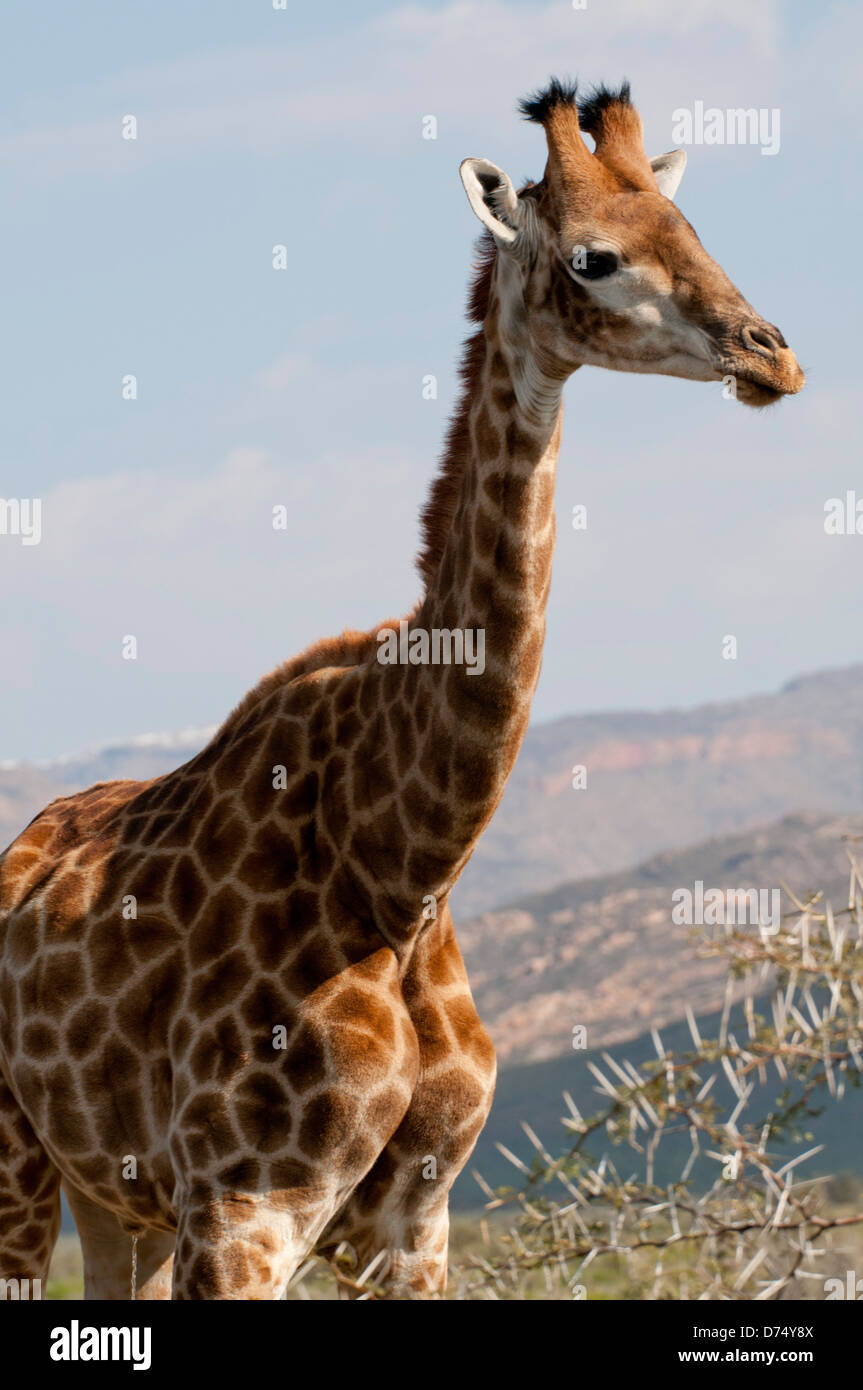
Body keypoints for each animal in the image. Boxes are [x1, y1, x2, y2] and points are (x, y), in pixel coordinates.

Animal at [0, 79, 803, 1301]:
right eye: (593, 257)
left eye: (690, 229)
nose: (772, 357)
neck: (404, 859)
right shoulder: (243, 1207)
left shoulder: (411, 1219)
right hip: (17, 1167)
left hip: (115, 1196)